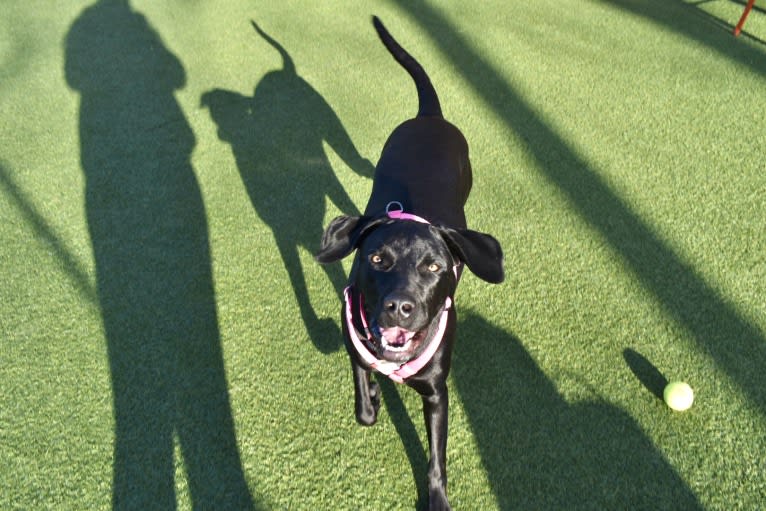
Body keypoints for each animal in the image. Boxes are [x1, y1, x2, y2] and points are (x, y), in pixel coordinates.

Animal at [316, 17, 504, 511]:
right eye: (377, 258)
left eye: (435, 268)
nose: (400, 306)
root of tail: (430, 117)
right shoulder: (355, 344)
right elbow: (363, 400)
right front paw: (373, 398)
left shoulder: (437, 393)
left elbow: (437, 457)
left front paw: (436, 498)